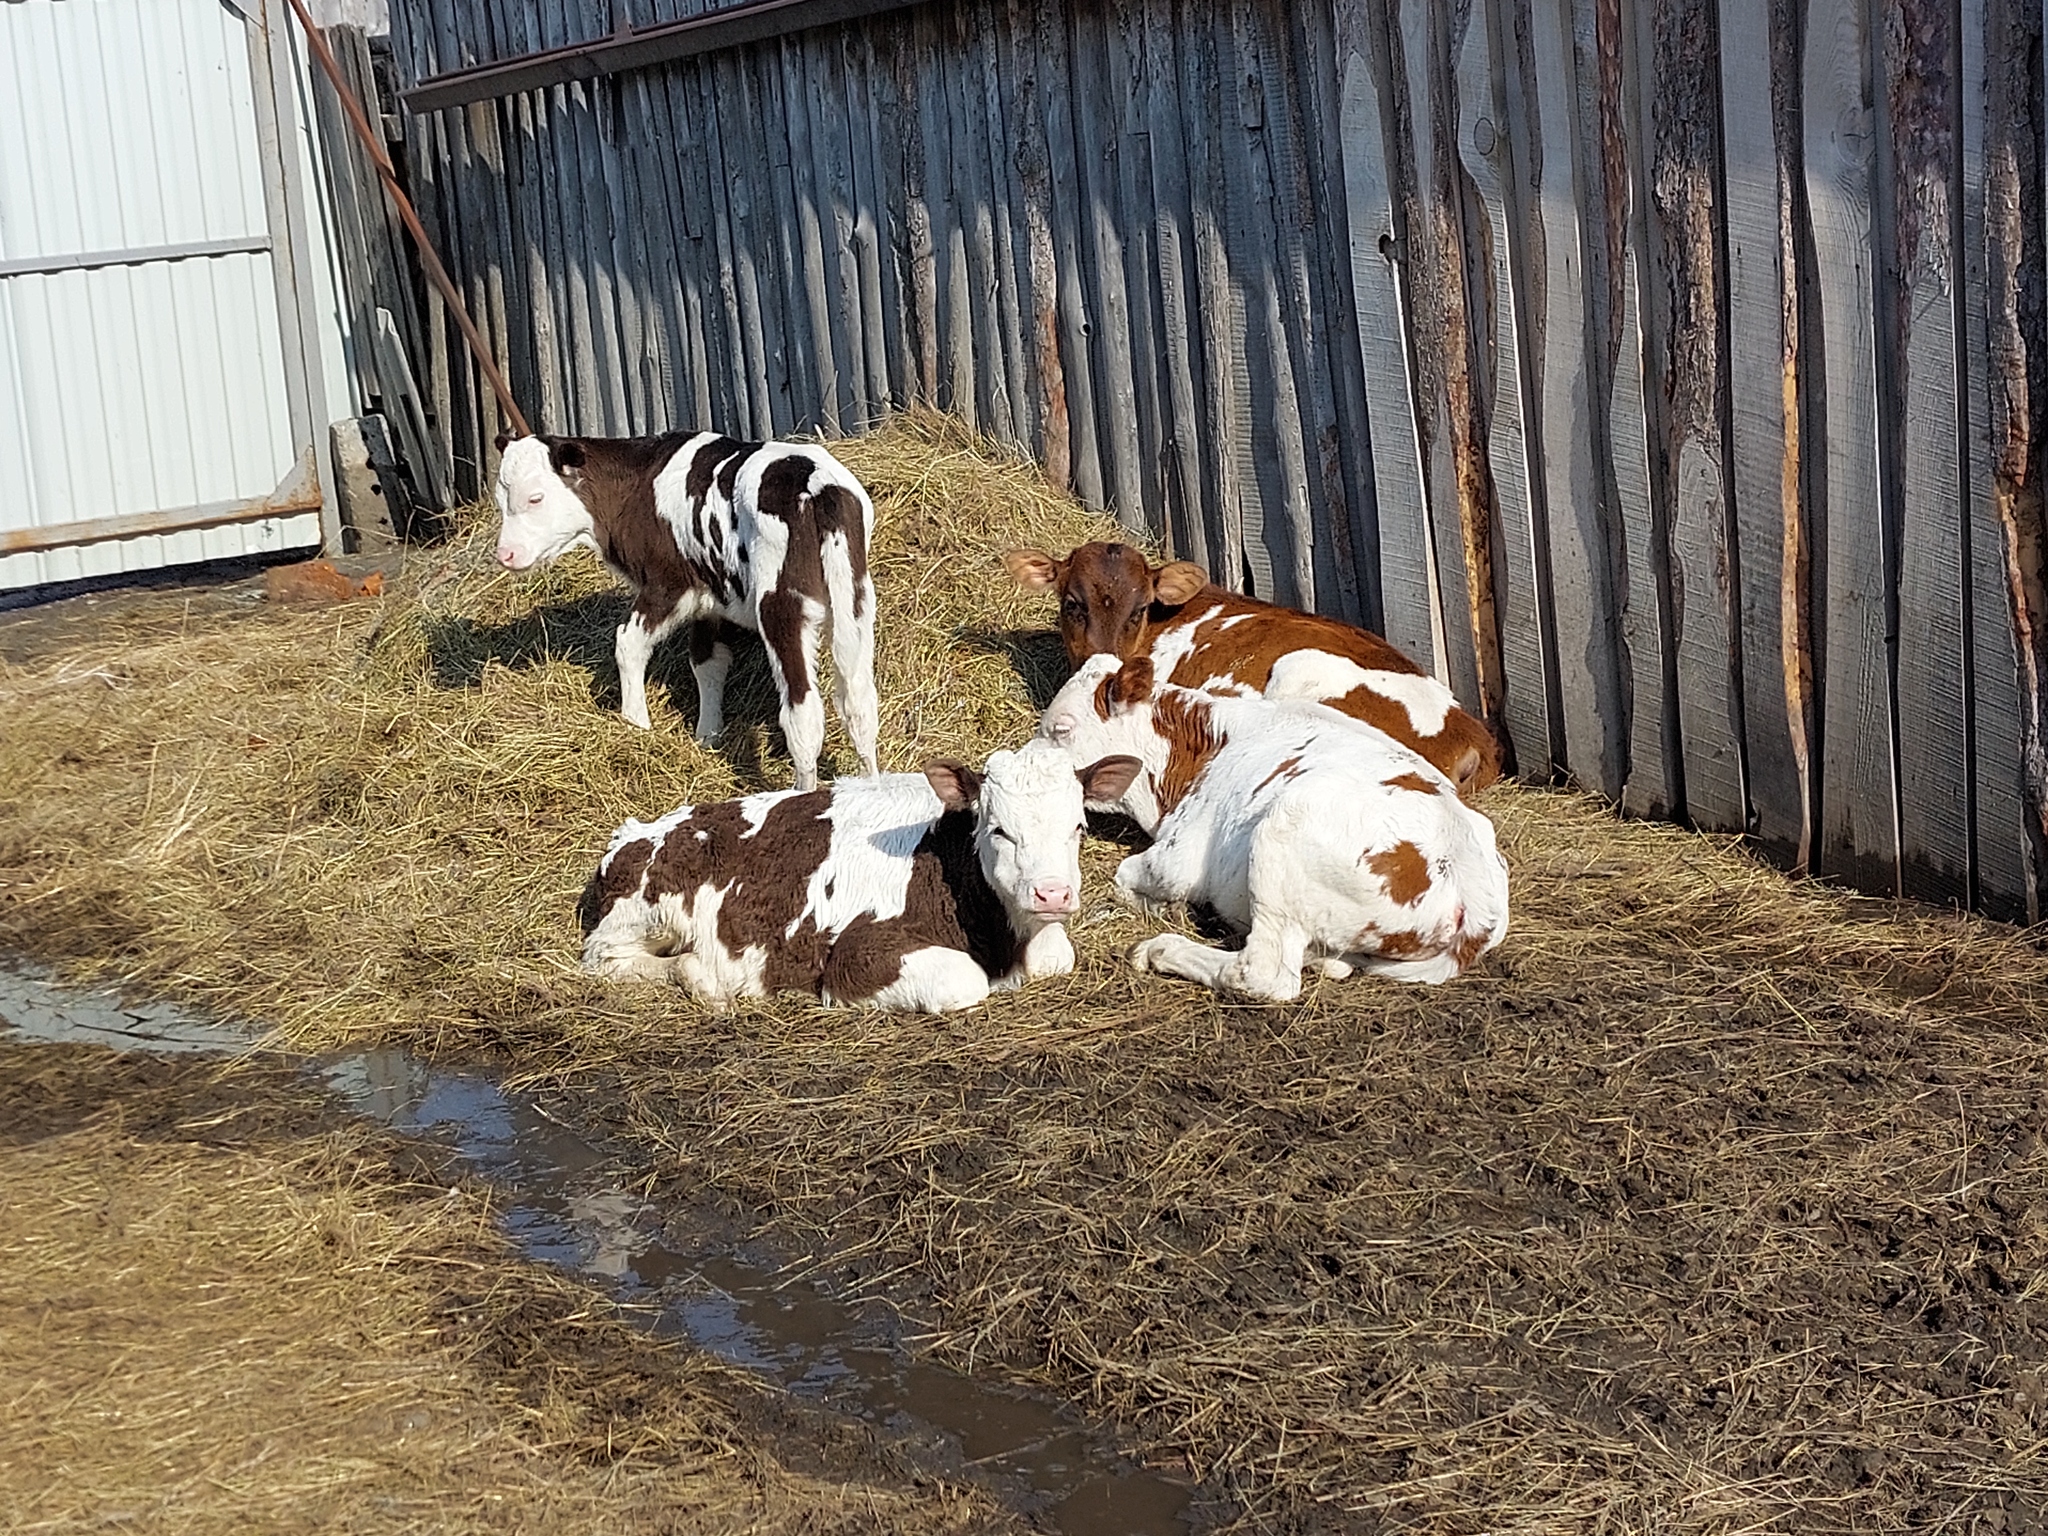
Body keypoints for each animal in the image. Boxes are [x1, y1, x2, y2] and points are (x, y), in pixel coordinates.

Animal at [585, 741, 1146, 1015]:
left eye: (1078, 827)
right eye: (999, 829)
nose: (1052, 893)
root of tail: (633, 830)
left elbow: (1058, 957)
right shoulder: (858, 952)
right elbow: (962, 980)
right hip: (647, 916)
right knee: (606, 960)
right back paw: (703, 980)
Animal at [1040, 655, 1507, 1003]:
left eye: (1060, 728)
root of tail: (1474, 889)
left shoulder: (1176, 857)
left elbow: (1126, 877)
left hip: (1285, 830)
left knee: (1264, 973)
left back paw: (1160, 948)